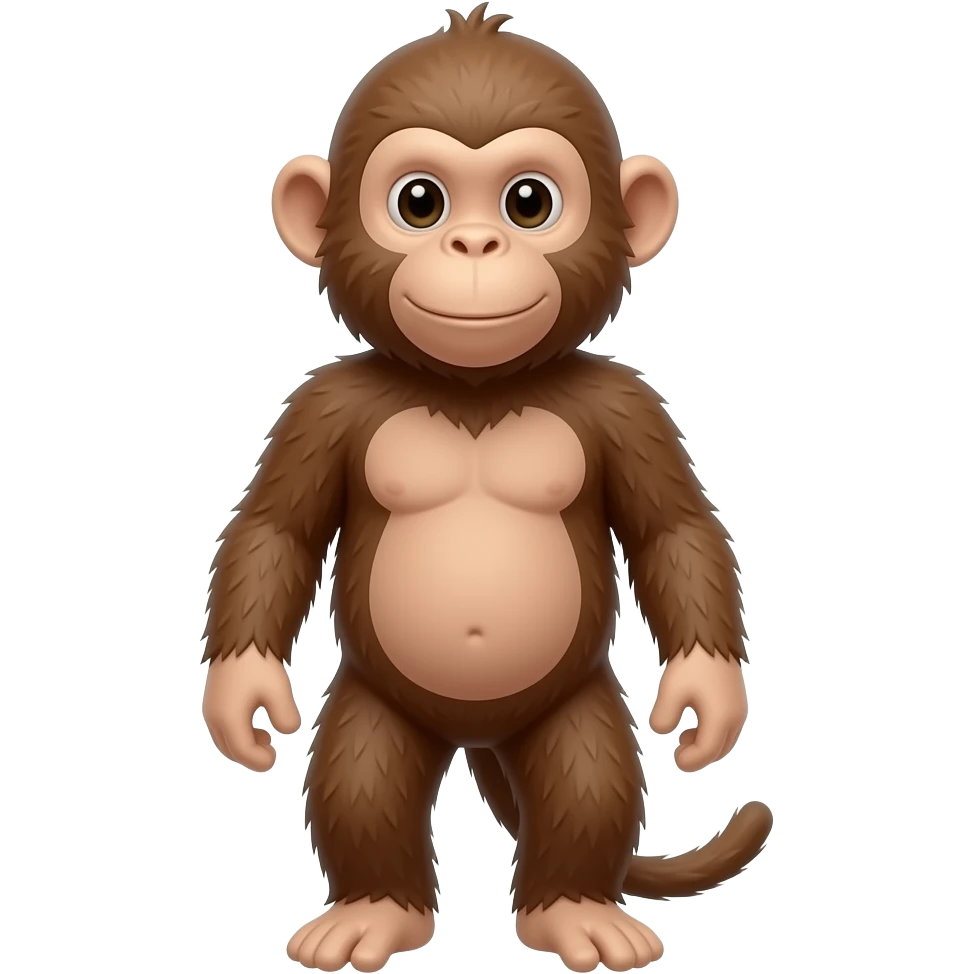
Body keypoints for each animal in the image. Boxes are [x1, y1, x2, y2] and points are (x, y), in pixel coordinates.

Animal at [201, 5, 771, 973]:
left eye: (529, 202)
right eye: (419, 202)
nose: (475, 243)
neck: (476, 389)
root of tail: (476, 736)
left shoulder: (629, 406)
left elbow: (675, 530)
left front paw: (708, 697)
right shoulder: (322, 406)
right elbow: (275, 530)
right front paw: (243, 697)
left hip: (569, 700)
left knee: (587, 772)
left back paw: (575, 909)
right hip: (381, 698)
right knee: (363, 770)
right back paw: (374, 910)